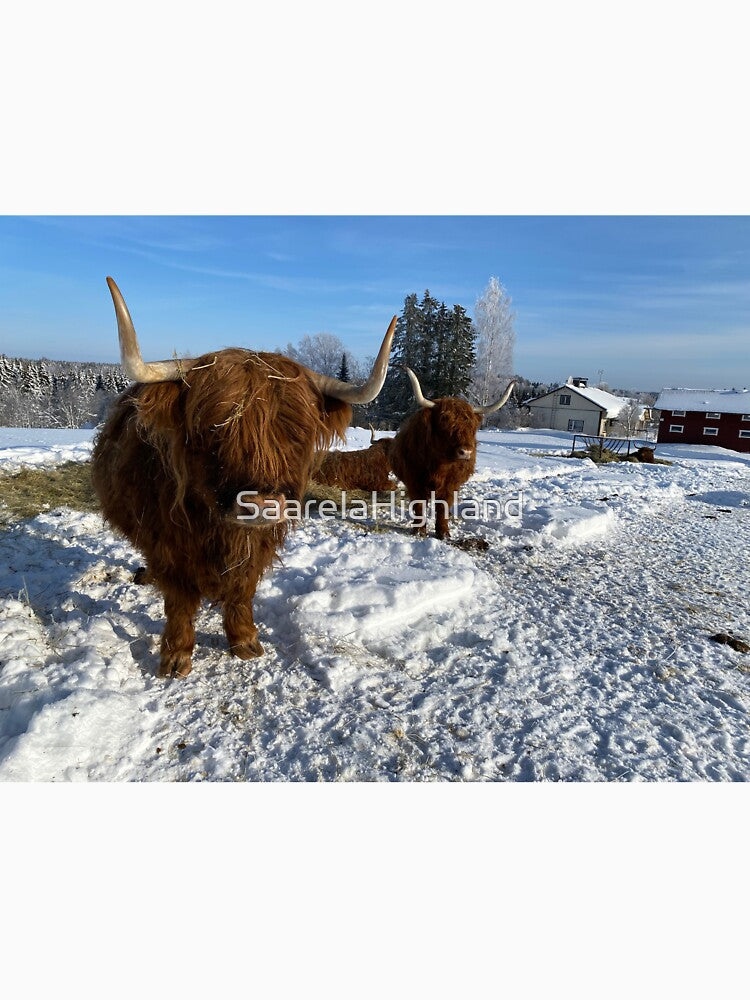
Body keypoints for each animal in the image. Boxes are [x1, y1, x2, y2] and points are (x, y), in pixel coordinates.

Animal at [91, 278, 396, 678]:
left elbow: (242, 589)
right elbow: (179, 601)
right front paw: (176, 657)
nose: (262, 504)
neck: (221, 531)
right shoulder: (169, 546)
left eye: (296, 434)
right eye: (213, 430)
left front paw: (245, 641)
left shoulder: (257, 547)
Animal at [388, 367, 515, 540]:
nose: (465, 452)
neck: (439, 465)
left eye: (472, 426)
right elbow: (419, 505)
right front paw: (419, 530)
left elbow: (443, 507)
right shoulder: (414, 481)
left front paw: (443, 532)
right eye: (444, 420)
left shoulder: (451, 485)